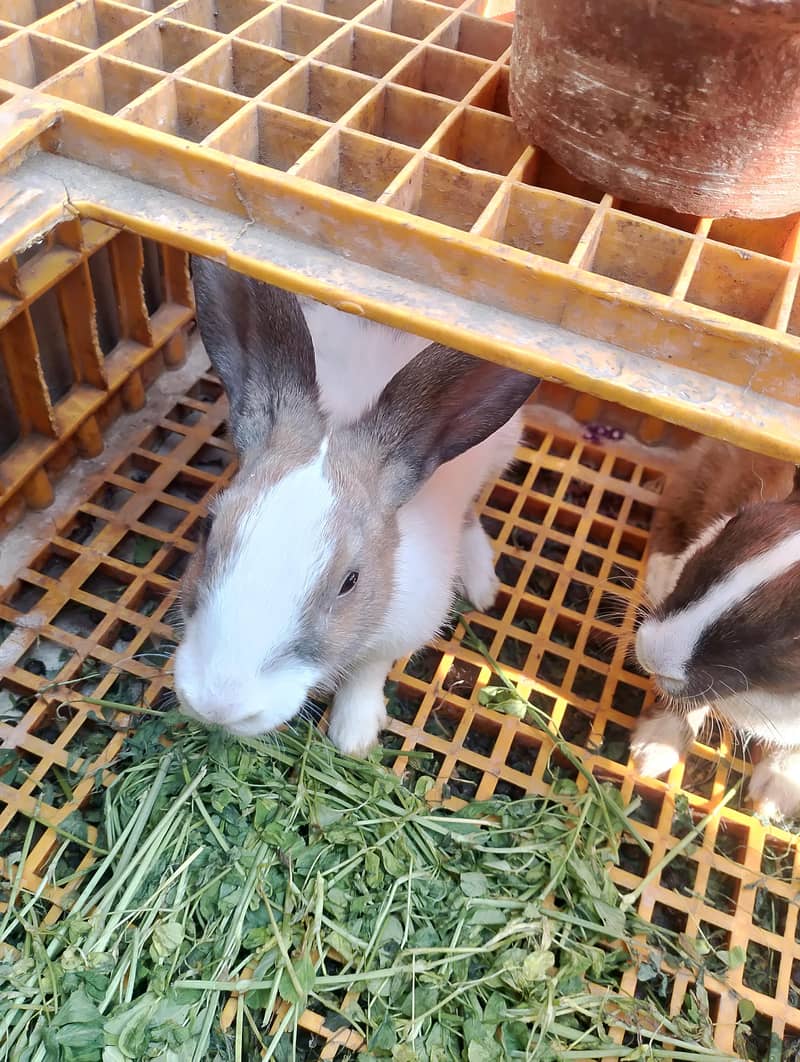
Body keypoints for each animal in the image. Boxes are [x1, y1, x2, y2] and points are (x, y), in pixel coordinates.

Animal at [172, 257, 540, 756]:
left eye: (351, 581)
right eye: (207, 530)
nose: (218, 705)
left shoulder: (403, 626)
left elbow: (368, 672)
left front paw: (353, 737)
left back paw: (481, 583)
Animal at [630, 434, 800, 817]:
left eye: (793, 639)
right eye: (733, 523)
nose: (650, 651)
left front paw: (773, 796)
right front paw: (652, 747)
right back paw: (661, 571)